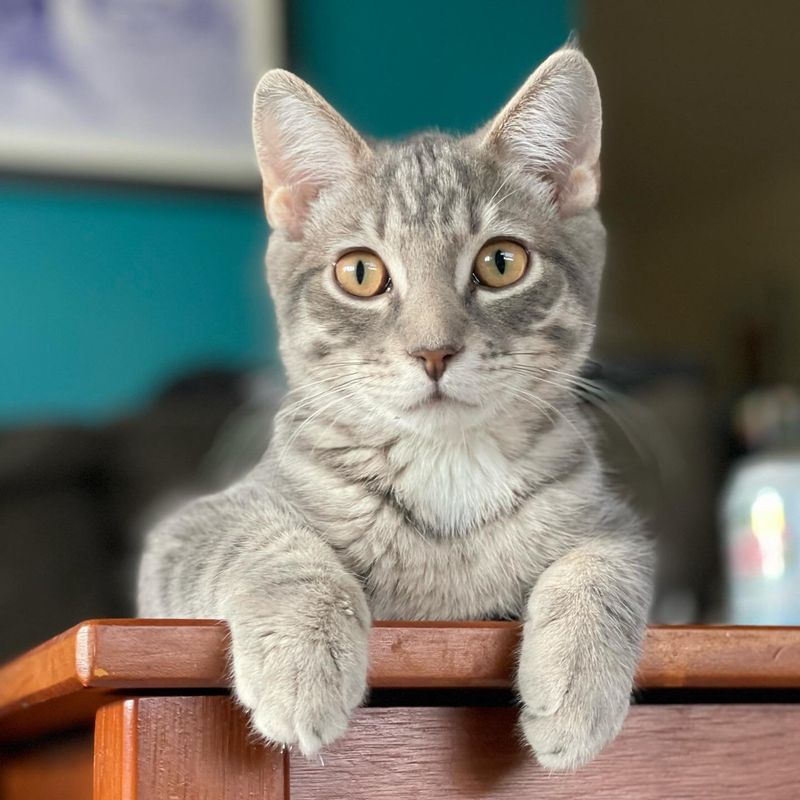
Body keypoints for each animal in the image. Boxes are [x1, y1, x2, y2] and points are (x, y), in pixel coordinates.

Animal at [136, 47, 648, 772]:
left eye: (501, 262)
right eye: (359, 272)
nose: (433, 350)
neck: (448, 467)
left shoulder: (608, 517)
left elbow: (604, 562)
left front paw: (578, 685)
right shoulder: (191, 527)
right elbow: (267, 542)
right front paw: (304, 659)